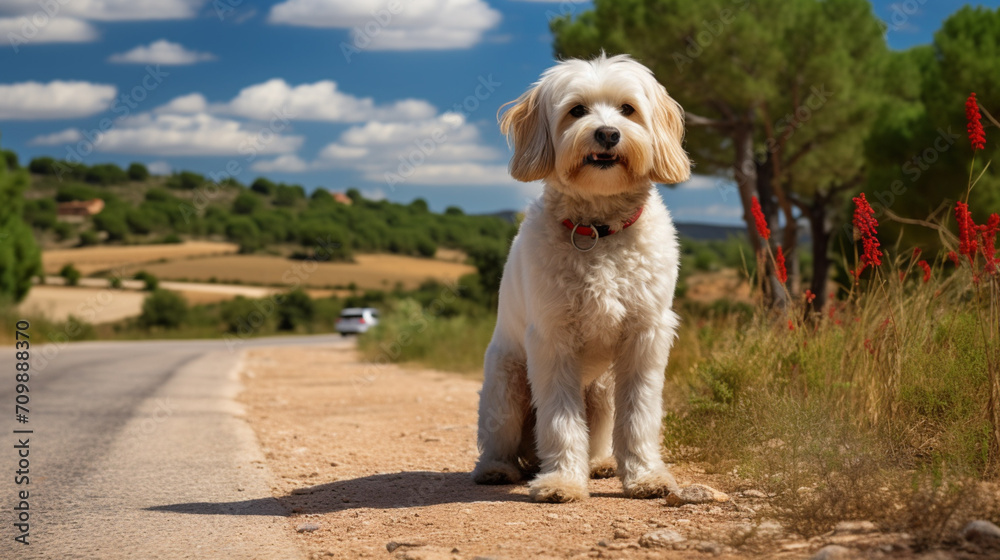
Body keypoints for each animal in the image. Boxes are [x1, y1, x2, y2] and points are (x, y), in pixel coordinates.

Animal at [472, 54, 692, 504]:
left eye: (627, 109)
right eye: (576, 110)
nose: (607, 133)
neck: (598, 229)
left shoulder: (645, 335)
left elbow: (639, 414)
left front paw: (645, 476)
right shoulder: (553, 339)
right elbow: (560, 420)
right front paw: (562, 481)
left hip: (602, 391)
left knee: (601, 432)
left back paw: (601, 463)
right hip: (506, 386)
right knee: (498, 439)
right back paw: (498, 469)